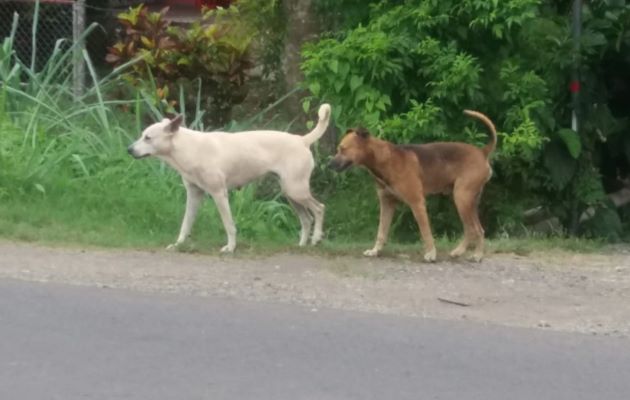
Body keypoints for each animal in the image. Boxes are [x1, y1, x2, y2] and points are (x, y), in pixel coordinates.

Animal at [130, 104, 336, 253]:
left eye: (148, 138)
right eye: (142, 136)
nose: (129, 150)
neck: (187, 147)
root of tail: (302, 140)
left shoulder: (219, 194)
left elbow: (229, 224)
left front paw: (230, 247)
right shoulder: (194, 195)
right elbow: (185, 224)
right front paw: (179, 245)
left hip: (296, 191)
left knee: (319, 209)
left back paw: (316, 238)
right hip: (290, 193)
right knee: (306, 219)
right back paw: (301, 245)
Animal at [330, 110, 498, 262]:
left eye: (343, 149)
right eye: (338, 149)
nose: (329, 164)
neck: (385, 158)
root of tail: (482, 152)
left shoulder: (417, 203)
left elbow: (426, 232)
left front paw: (431, 253)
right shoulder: (387, 203)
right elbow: (381, 231)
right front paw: (375, 251)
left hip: (462, 199)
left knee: (475, 229)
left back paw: (476, 255)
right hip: (467, 201)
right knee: (474, 229)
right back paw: (462, 252)